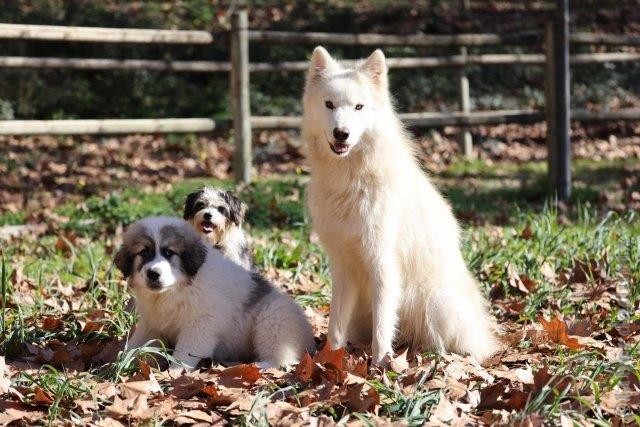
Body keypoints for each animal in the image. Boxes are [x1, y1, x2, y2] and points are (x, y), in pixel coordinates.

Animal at [115, 216, 318, 370]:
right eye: (143, 252)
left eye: (168, 252)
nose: (153, 273)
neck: (174, 291)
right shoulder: (152, 323)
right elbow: (140, 342)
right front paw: (122, 361)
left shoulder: (200, 324)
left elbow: (185, 352)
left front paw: (175, 372)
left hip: (274, 318)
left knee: (283, 355)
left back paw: (260, 365)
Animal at [302, 47, 500, 364]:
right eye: (329, 104)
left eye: (358, 107)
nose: (341, 133)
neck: (351, 182)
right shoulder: (342, 265)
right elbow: (335, 325)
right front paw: (329, 360)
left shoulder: (382, 263)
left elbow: (383, 326)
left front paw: (380, 365)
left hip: (430, 299)